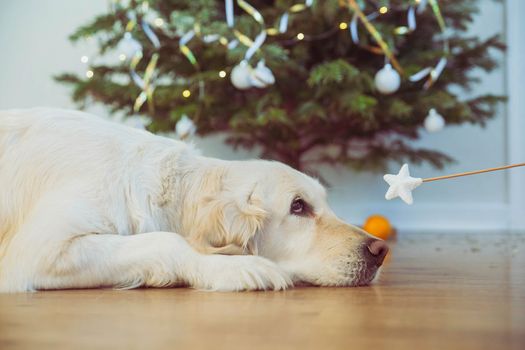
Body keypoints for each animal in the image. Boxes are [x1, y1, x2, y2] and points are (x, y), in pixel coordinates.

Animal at [0, 108, 384, 292]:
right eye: (298, 206)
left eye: (326, 204)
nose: (380, 250)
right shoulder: (40, 250)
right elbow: (167, 241)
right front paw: (237, 267)